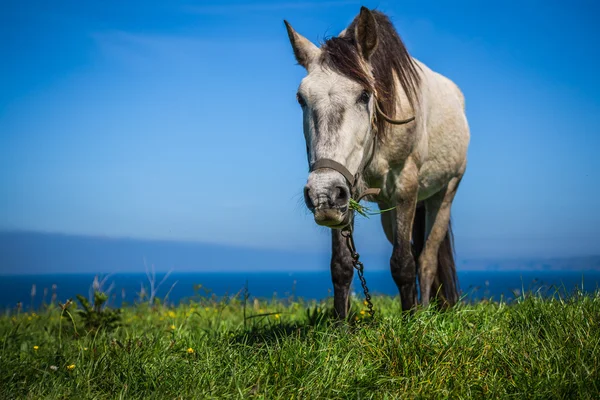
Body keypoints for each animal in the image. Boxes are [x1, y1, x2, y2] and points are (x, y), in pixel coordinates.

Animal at [284, 7, 472, 318]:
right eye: (301, 99)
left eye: (364, 95)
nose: (322, 193)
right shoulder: (345, 194)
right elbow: (342, 266)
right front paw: (341, 326)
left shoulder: (406, 187)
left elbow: (403, 264)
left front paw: (412, 322)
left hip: (444, 194)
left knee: (426, 258)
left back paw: (425, 310)